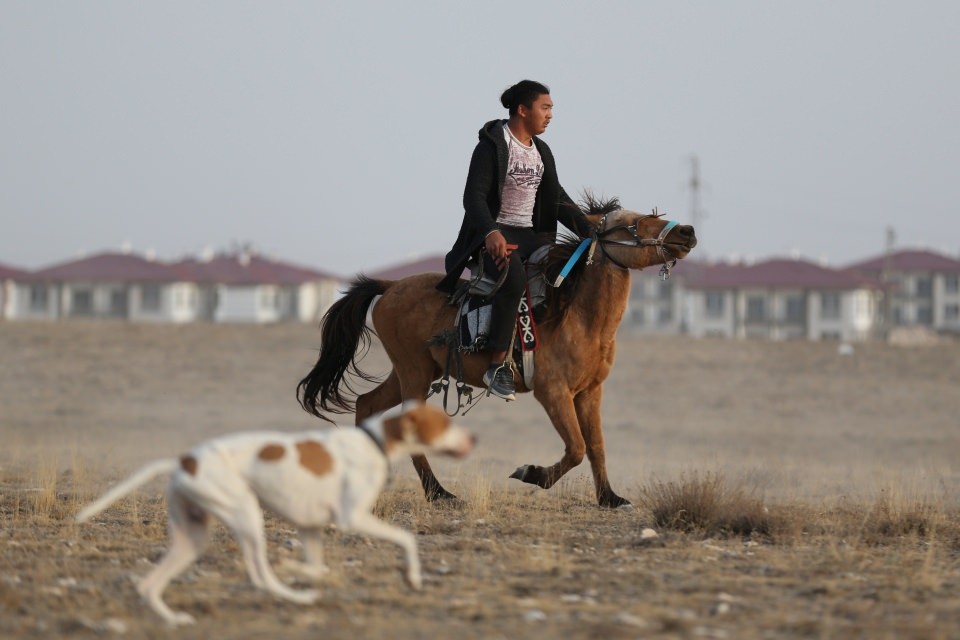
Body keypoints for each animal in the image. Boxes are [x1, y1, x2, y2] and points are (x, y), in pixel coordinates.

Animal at [75, 402, 472, 628]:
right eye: (444, 423)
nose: (474, 439)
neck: (375, 442)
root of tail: (184, 461)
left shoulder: (311, 529)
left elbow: (317, 567)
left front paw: (297, 568)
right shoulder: (352, 518)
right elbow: (406, 539)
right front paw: (414, 578)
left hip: (192, 537)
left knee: (149, 585)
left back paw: (174, 620)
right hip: (246, 515)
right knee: (259, 575)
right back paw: (297, 597)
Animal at [296, 198, 692, 508]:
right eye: (630, 224)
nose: (687, 231)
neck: (579, 318)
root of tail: (390, 286)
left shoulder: (590, 392)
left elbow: (596, 445)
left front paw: (610, 498)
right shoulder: (553, 393)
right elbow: (577, 448)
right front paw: (531, 473)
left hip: (410, 373)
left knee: (366, 404)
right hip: (414, 374)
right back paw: (439, 493)